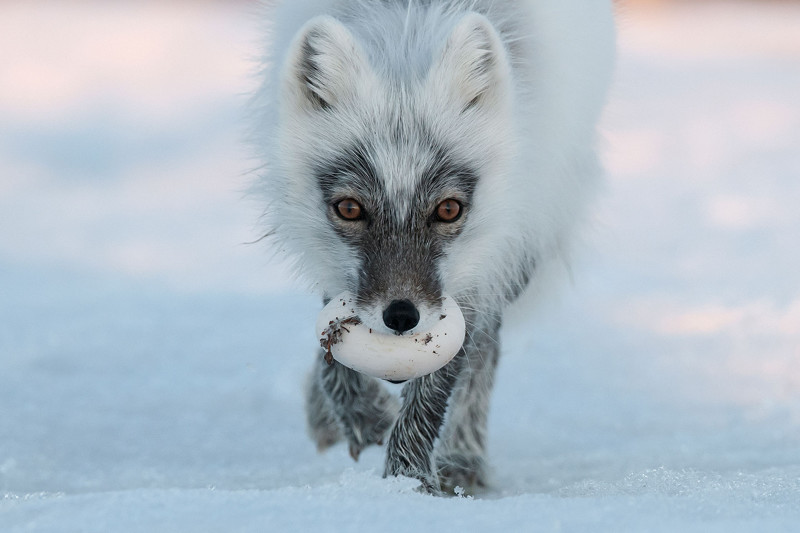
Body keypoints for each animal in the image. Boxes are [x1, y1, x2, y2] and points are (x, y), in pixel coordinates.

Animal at [253, 0, 616, 494]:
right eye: (349, 208)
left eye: (448, 210)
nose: (401, 317)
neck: (406, 38)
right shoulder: (334, 263)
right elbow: (332, 346)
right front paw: (362, 417)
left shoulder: (477, 270)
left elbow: (439, 384)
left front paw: (407, 484)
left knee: (485, 351)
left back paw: (463, 459)